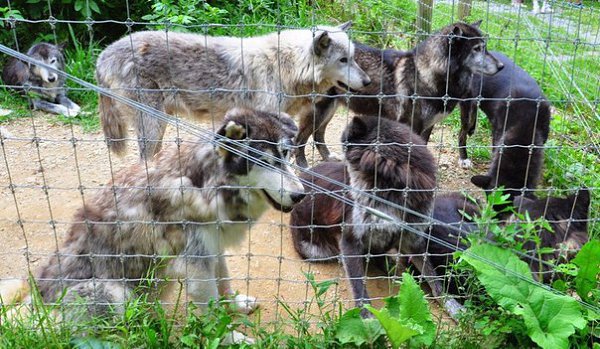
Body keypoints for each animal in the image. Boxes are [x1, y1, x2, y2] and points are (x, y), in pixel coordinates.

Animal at [288, 116, 466, 316]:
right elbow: (359, 289)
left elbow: (434, 278)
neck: (391, 193)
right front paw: (367, 319)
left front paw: (453, 306)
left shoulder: (412, 239)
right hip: (315, 251)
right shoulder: (349, 241)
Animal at [292, 20, 504, 167]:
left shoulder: (427, 127)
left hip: (329, 109)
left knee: (318, 134)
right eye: (477, 49)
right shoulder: (412, 126)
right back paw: (303, 167)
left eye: (485, 47)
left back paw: (328, 157)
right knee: (300, 140)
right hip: (318, 111)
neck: (427, 74)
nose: (502, 66)